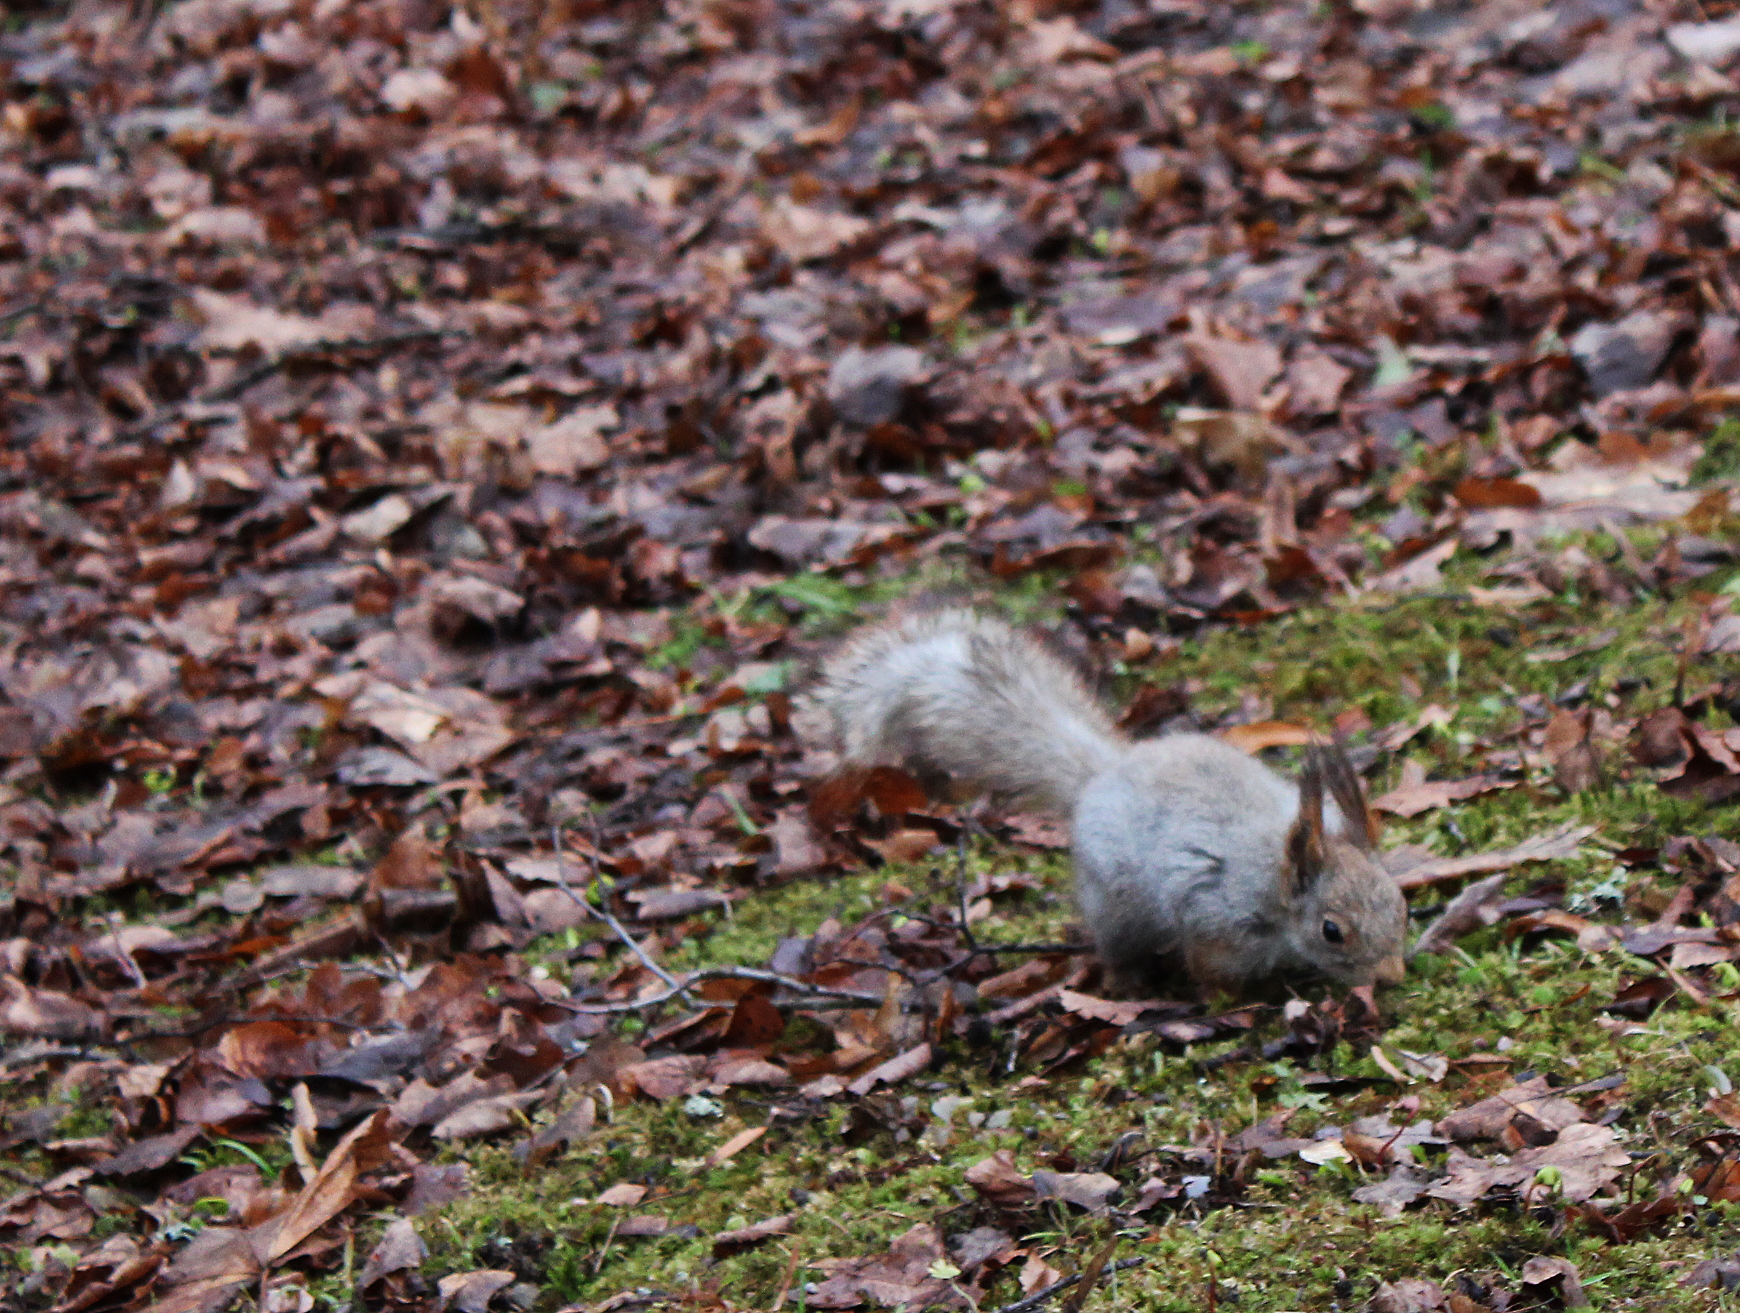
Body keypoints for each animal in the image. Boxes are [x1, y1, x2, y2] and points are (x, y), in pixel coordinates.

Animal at [821, 605, 1405, 994]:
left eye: (1399, 901)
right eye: (1332, 932)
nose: (1393, 976)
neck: (1276, 880)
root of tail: (1103, 774)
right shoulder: (1216, 922)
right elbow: (1212, 970)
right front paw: (1231, 1000)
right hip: (1115, 906)